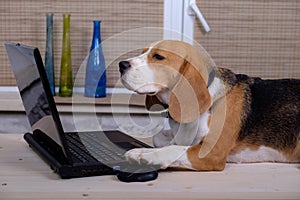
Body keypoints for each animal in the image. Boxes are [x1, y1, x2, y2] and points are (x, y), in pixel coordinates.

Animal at [118, 40, 298, 170]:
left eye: (158, 57)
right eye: (143, 52)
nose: (121, 65)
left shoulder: (212, 153)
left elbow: (176, 149)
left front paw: (145, 155)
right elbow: (160, 138)